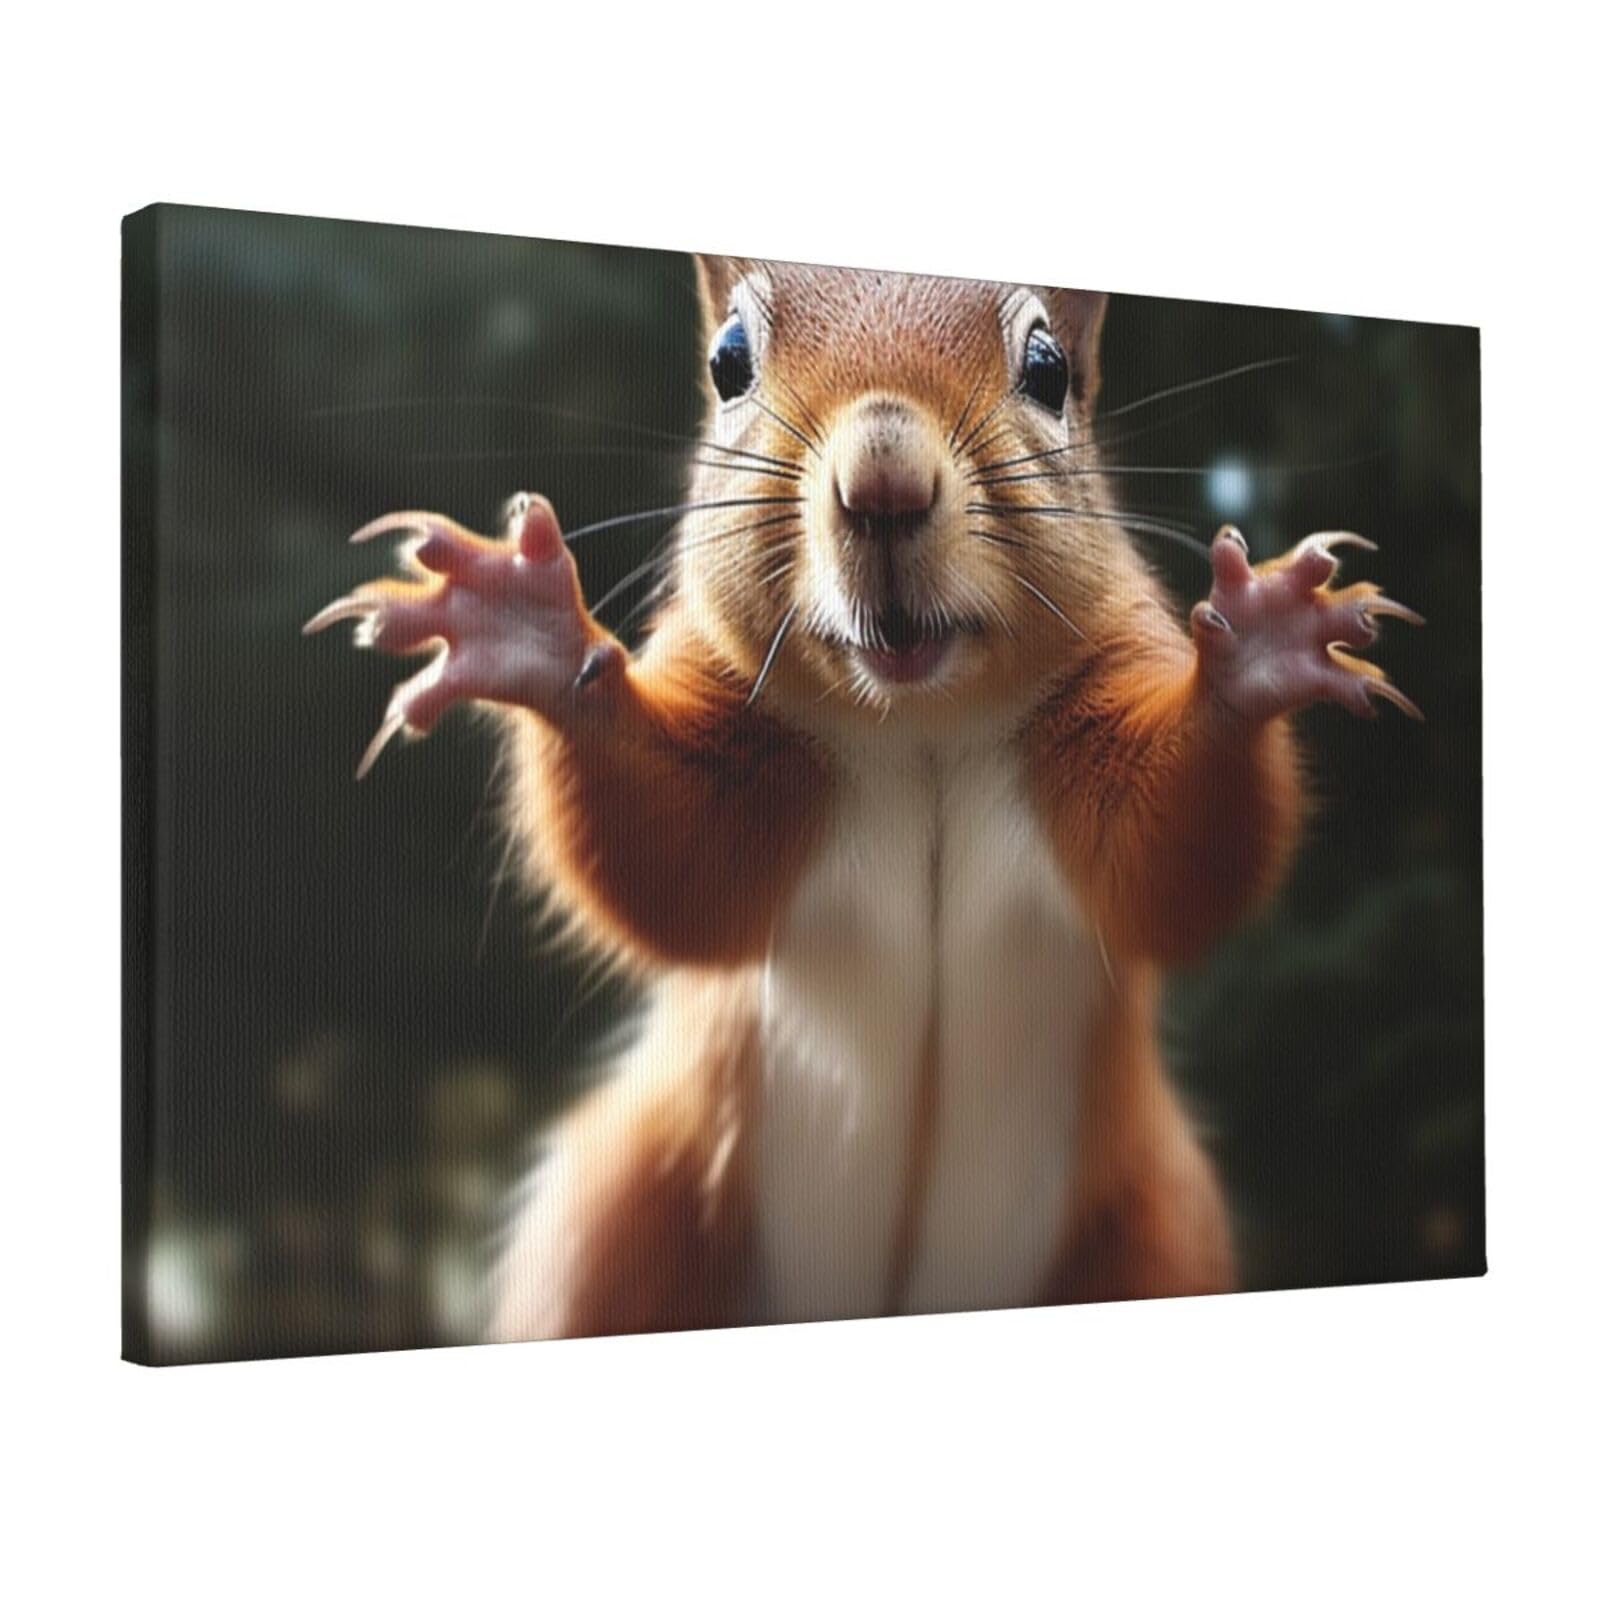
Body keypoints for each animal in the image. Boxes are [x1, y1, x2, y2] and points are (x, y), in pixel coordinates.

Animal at [308, 256, 1423, 1339]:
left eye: (1049, 368)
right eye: (727, 362)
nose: (883, 478)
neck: (918, 725)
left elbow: (1172, 869)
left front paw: (1255, 650)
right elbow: (675, 870)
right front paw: (529, 630)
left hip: (1153, 1231)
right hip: (623, 1219)